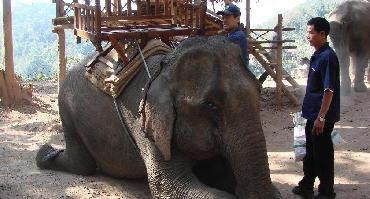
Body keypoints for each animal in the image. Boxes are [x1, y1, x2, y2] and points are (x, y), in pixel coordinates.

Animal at [36, 36, 280, 198]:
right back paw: (45, 154)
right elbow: (170, 186)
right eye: (210, 105)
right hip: (67, 109)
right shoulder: (144, 120)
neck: (165, 69)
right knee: (82, 165)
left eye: (259, 92)